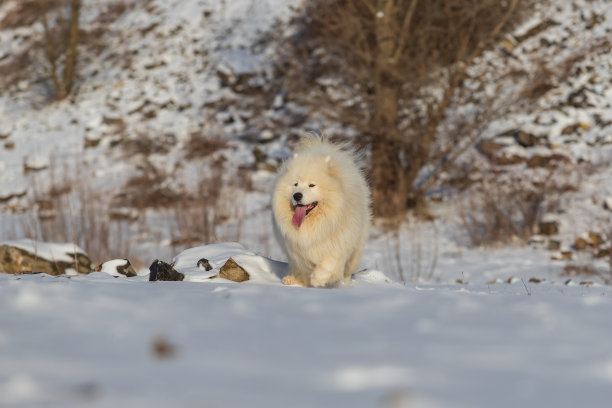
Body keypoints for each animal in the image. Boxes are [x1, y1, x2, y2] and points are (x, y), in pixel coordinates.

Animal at [274, 135, 370, 286]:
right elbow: (301, 264)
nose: (297, 195)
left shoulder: (340, 242)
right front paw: (301, 279)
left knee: (347, 271)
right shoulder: (297, 247)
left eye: (312, 185)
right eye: (295, 184)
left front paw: (318, 279)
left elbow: (329, 262)